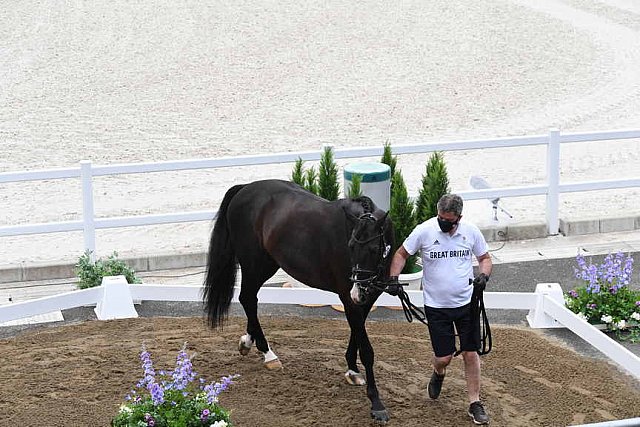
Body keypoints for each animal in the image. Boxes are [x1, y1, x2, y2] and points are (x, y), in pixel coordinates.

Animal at [205, 179, 396, 422]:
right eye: (351, 247)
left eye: (373, 249)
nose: (357, 289)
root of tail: (246, 187)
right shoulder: (348, 298)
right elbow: (367, 349)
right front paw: (376, 403)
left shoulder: (368, 298)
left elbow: (357, 332)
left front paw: (352, 370)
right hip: (253, 264)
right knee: (247, 298)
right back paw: (268, 354)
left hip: (267, 264)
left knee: (249, 299)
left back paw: (248, 342)